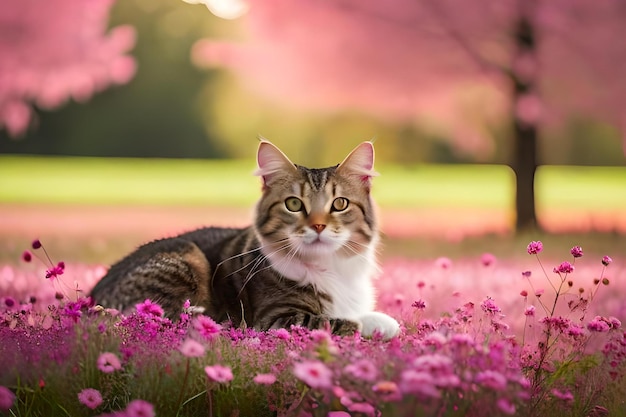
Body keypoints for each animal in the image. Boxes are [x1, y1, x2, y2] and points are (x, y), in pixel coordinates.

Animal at [89, 140, 400, 338]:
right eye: (294, 204)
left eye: (339, 204)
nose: (319, 225)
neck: (332, 267)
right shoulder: (275, 318)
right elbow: (334, 320)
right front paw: (379, 322)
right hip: (186, 262)